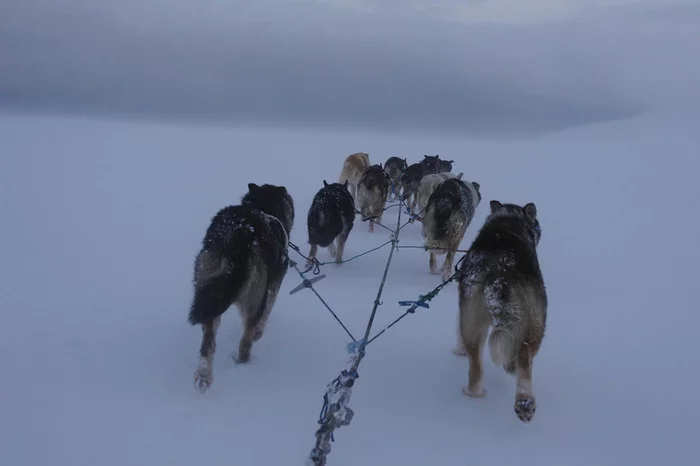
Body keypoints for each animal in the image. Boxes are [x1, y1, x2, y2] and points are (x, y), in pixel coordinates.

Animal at [187, 182, 294, 394]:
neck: (263, 207)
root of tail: (241, 231)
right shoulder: (273, 286)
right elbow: (266, 312)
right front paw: (260, 333)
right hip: (254, 299)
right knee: (246, 340)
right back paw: (243, 361)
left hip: (208, 290)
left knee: (208, 342)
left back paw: (204, 376)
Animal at [454, 198, 548, 424]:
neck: (508, 222)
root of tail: (498, 267)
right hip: (536, 323)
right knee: (524, 362)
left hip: (472, 319)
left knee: (476, 367)